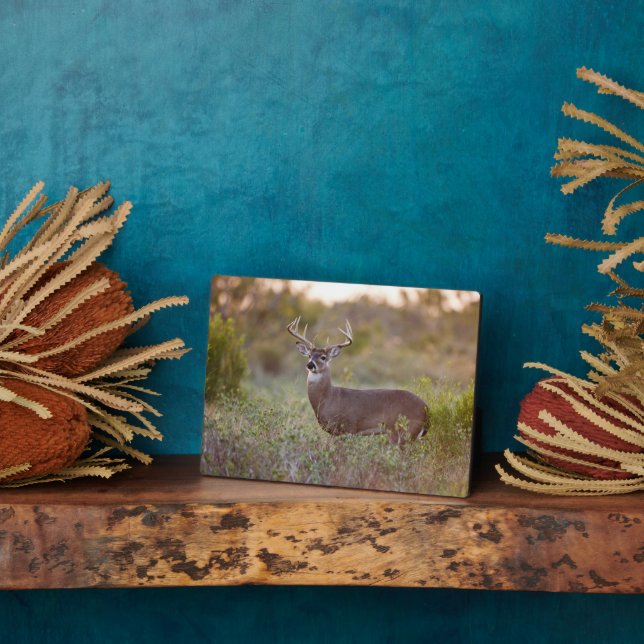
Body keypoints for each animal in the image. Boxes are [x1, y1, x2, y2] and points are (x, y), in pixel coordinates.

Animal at [287, 317, 429, 445]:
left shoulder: (348, 428)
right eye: (309, 355)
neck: (328, 398)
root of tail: (426, 409)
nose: (310, 365)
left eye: (323, 357)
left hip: (404, 431)